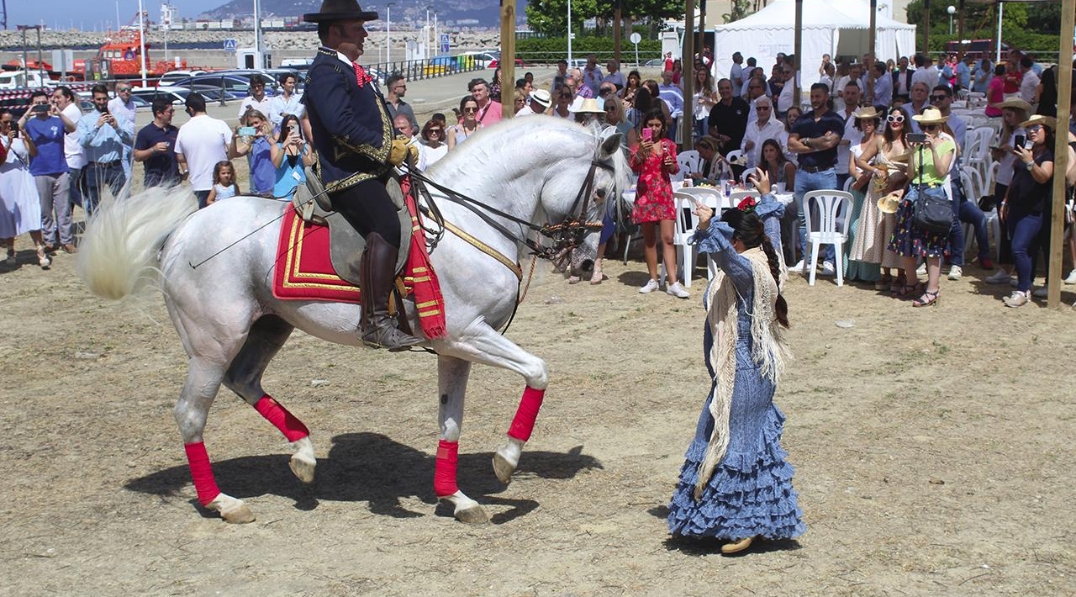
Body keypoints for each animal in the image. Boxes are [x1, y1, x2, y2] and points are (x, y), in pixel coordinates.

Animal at [79, 116, 628, 522]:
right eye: (602, 192)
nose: (584, 265)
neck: (468, 219)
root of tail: (180, 233)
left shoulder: (454, 347)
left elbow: (450, 420)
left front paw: (455, 498)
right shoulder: (467, 334)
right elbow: (538, 371)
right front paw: (506, 461)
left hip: (268, 326)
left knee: (245, 381)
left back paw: (302, 455)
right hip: (213, 342)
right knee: (191, 414)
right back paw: (223, 502)